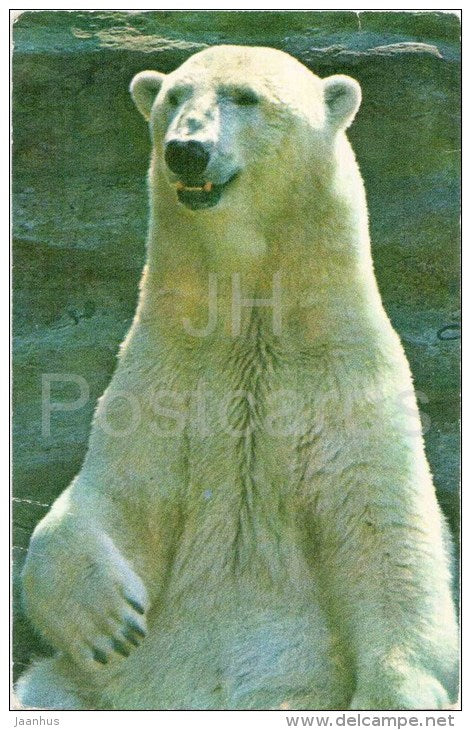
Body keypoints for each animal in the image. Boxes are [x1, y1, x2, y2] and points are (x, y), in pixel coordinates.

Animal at [16, 44, 458, 710]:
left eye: (246, 97)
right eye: (174, 96)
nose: (186, 148)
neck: (251, 322)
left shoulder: (346, 380)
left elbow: (387, 534)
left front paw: (394, 694)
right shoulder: (165, 373)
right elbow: (113, 494)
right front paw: (109, 622)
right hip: (92, 693)